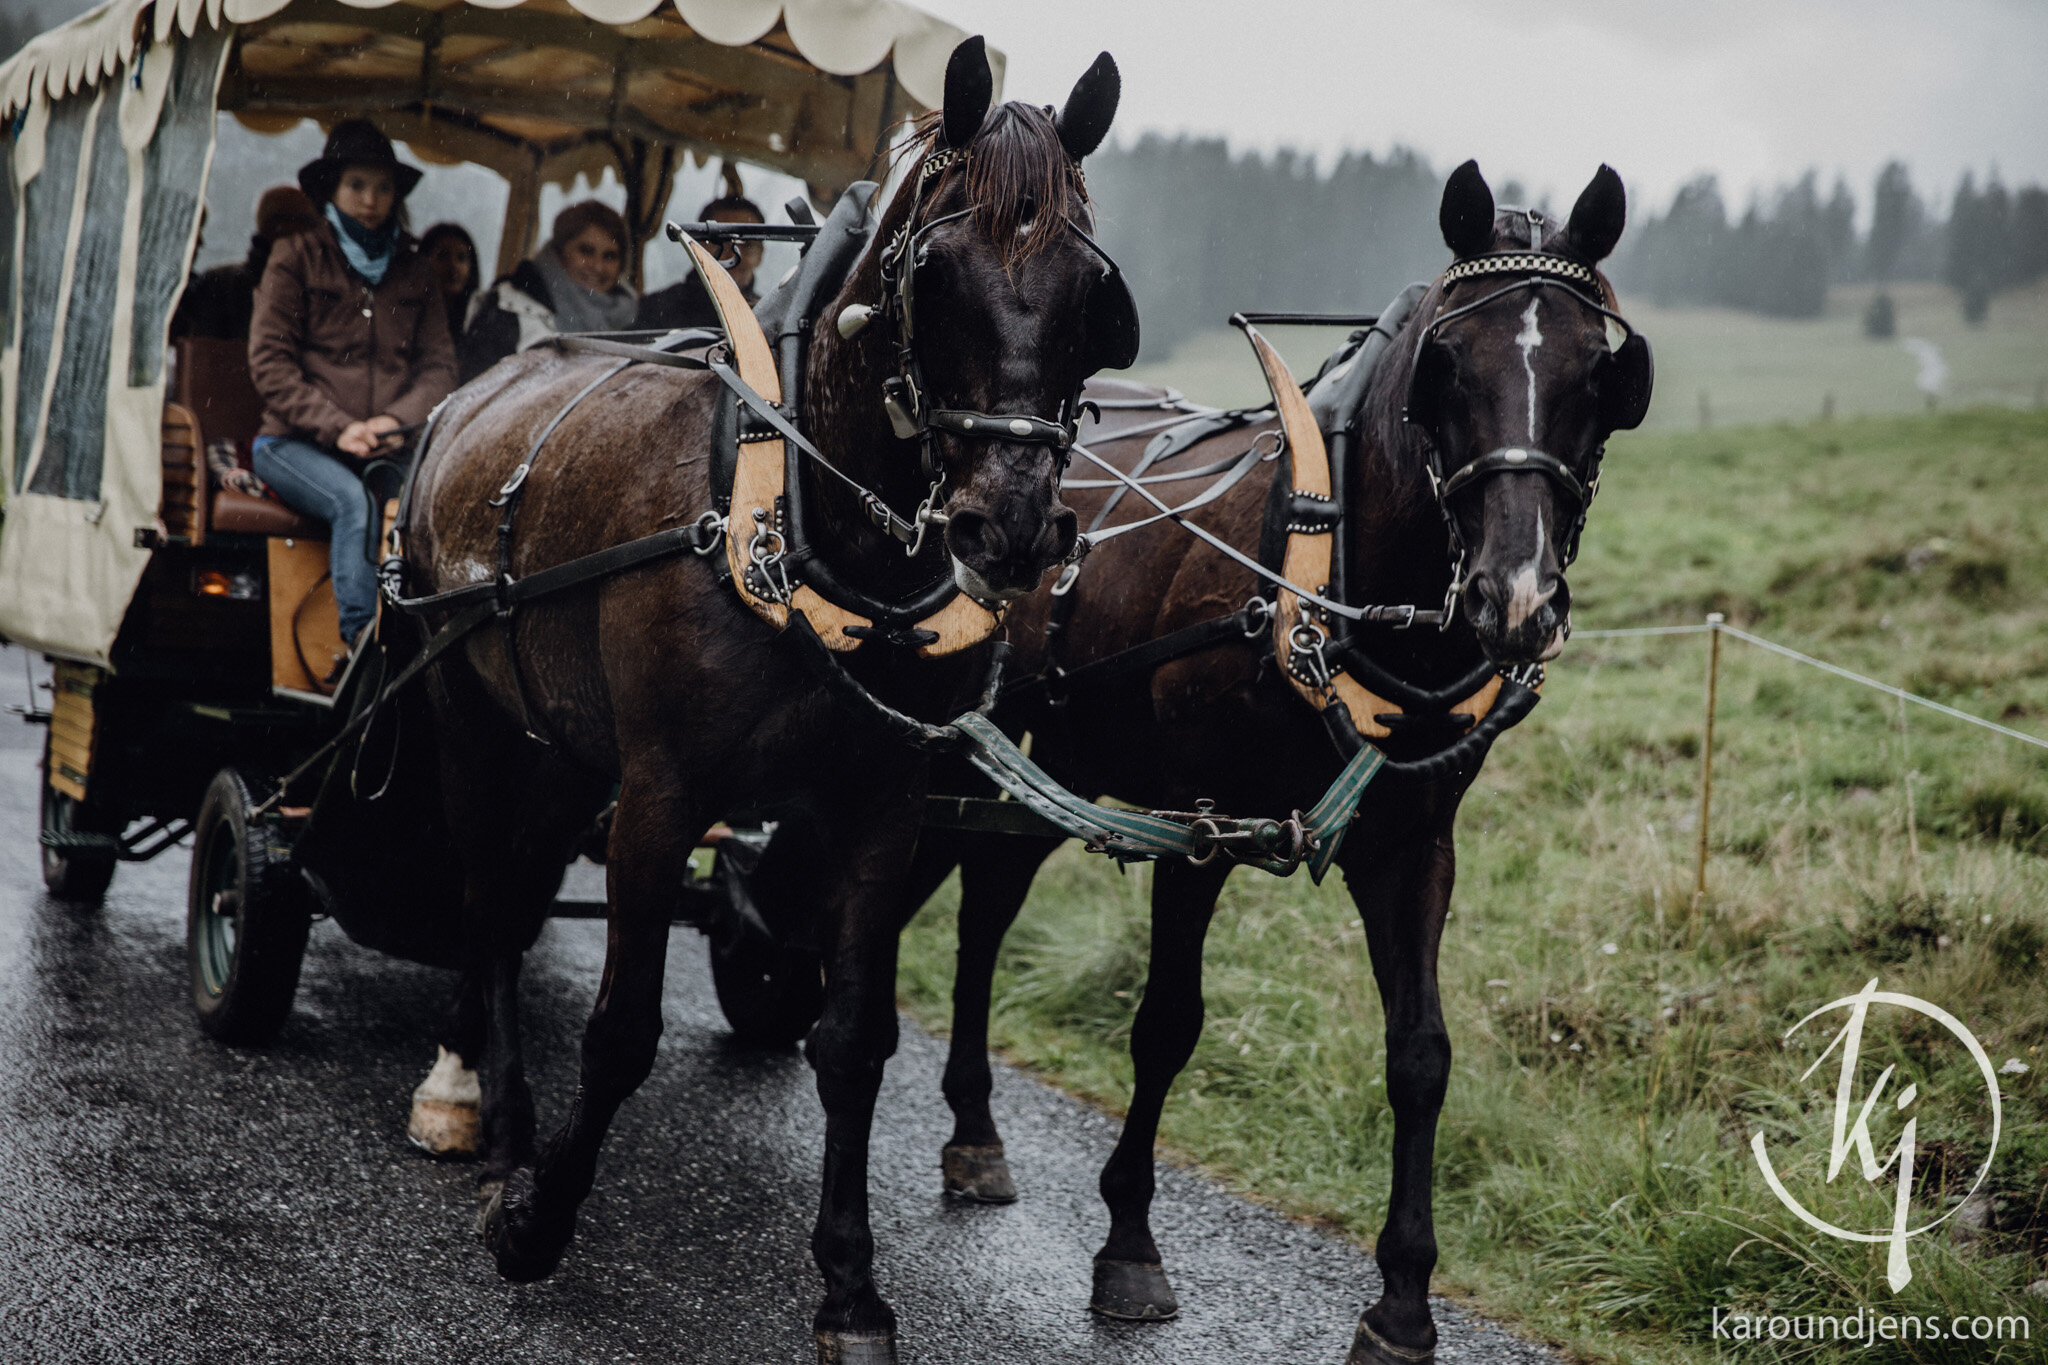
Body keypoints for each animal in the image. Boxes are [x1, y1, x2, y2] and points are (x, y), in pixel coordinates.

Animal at [399, 37, 1138, 1358]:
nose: (1004, 527)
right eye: (934, 273)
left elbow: (852, 1044)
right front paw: (538, 1223)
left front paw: (848, 1284)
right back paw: (479, 1110)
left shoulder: (881, 808)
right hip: (462, 708)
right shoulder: (660, 794)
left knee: (519, 887)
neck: (801, 523)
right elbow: (623, 1029)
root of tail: (483, 386)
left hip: (557, 746)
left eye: (1090, 291)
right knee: (486, 900)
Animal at [892, 162, 1646, 1365]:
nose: (1513, 599)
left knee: (983, 910)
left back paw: (972, 1129)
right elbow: (1165, 1025)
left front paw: (1402, 1301)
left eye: (1598, 373)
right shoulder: (1195, 826)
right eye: (1444, 364)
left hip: (1053, 765)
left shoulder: (1413, 846)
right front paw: (1129, 1245)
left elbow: (1421, 1055)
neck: (1330, 580)